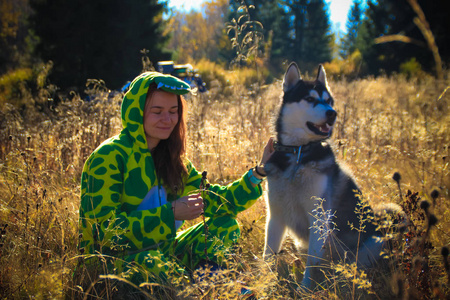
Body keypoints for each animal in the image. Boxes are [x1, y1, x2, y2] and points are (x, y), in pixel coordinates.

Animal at [264, 62, 400, 290]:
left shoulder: (318, 217)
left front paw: (304, 289)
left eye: (328, 101)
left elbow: (312, 262)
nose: (332, 113)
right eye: (310, 99)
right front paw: (261, 283)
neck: (298, 154)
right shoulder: (276, 216)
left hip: (373, 242)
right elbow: (267, 254)